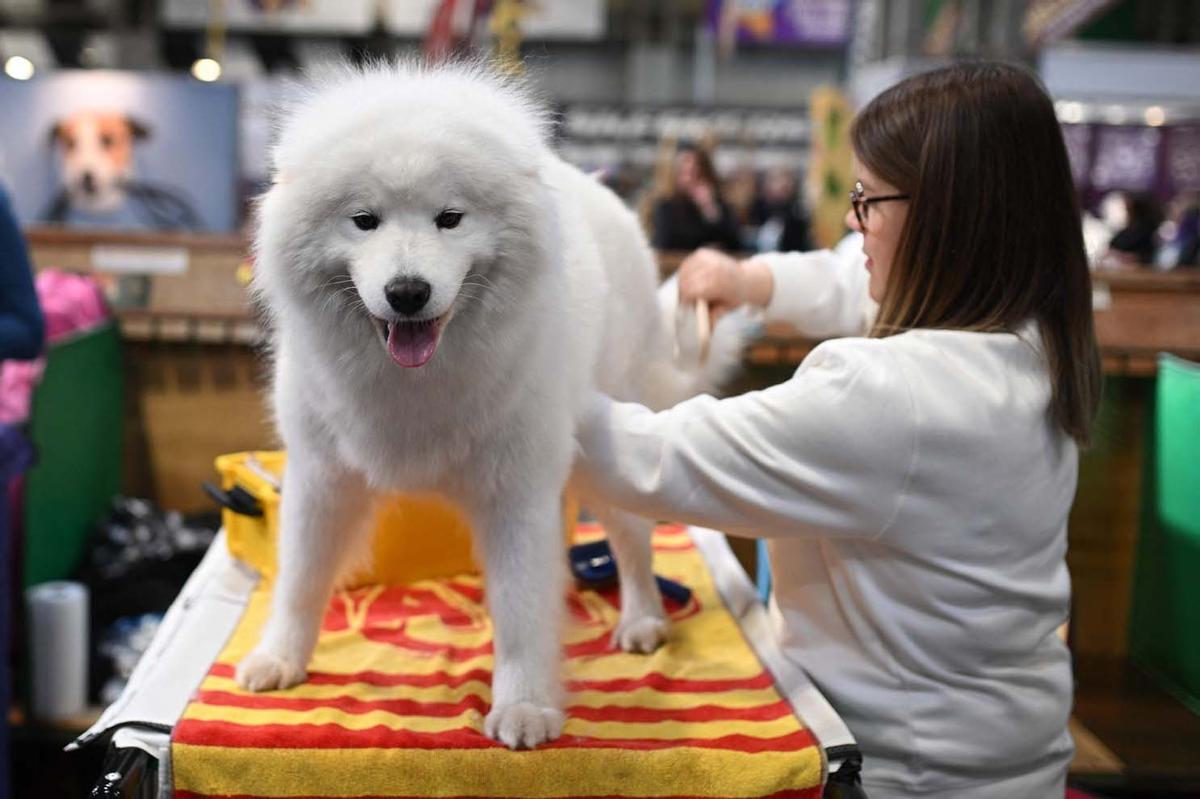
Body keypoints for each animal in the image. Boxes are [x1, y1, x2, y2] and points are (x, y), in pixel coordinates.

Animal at [236, 60, 729, 748]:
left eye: (450, 218)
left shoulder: (514, 494)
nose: (407, 292)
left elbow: (521, 611)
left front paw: (525, 706)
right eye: (364, 220)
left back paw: (641, 620)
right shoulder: (322, 480)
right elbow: (301, 580)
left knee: (633, 541)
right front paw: (281, 657)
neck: (416, 382)